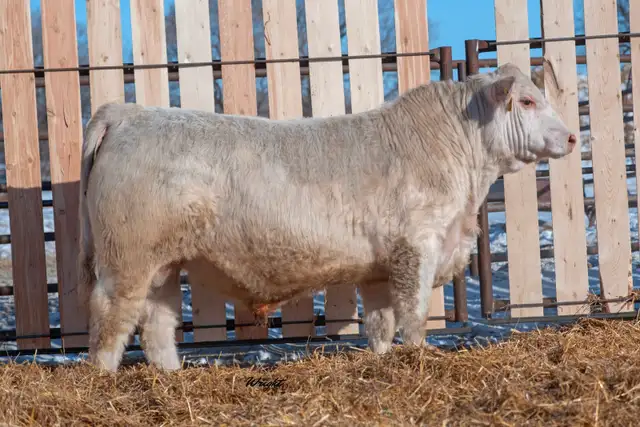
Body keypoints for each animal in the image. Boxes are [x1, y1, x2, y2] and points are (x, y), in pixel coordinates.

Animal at [77, 63, 576, 372]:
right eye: (527, 102)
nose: (571, 137)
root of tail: (126, 112)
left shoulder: (380, 268)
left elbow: (380, 323)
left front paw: (381, 360)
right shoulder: (418, 247)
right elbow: (414, 315)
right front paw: (417, 358)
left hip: (162, 263)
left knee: (156, 324)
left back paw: (171, 375)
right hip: (128, 256)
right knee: (110, 317)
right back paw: (103, 377)